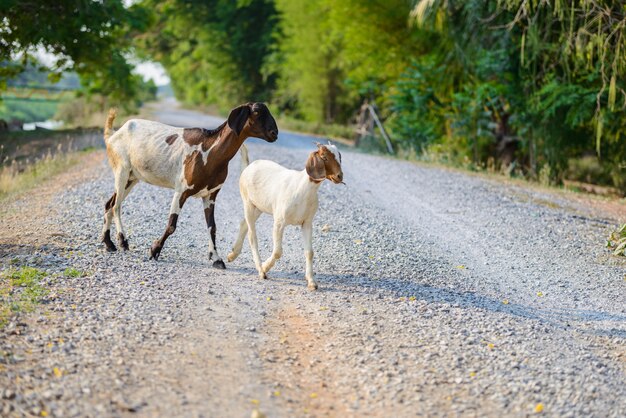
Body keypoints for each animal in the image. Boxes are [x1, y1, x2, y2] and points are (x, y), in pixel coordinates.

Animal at [101, 102, 276, 268]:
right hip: (122, 169)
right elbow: (171, 225)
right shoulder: (181, 190)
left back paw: (109, 243)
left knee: (109, 204)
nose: (274, 133)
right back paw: (122, 241)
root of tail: (113, 135)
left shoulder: (210, 195)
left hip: (132, 178)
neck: (209, 152)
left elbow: (212, 227)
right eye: (256, 112)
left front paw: (217, 259)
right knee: (116, 206)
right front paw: (155, 249)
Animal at [225, 142, 342, 290]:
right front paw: (265, 267)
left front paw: (311, 282)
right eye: (324, 157)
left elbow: (309, 252)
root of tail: (248, 167)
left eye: (339, 157)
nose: (339, 176)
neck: (303, 188)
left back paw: (232, 255)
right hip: (248, 203)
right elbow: (277, 252)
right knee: (252, 235)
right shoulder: (279, 222)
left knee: (243, 224)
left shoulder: (307, 223)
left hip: (259, 207)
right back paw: (260, 269)